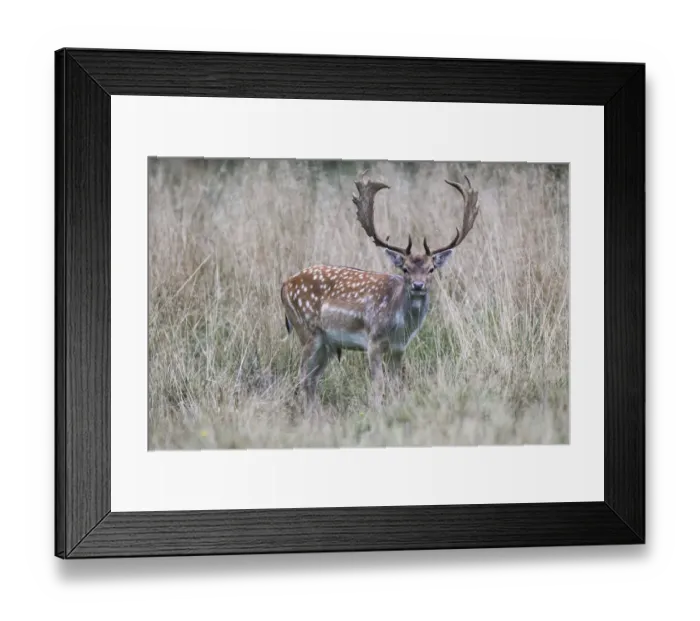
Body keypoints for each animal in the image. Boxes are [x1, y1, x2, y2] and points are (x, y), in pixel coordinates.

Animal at [280, 169, 480, 405]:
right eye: (405, 268)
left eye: (431, 269)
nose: (418, 285)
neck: (400, 326)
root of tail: (284, 284)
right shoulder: (373, 341)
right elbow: (378, 385)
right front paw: (376, 409)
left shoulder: (399, 348)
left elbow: (395, 385)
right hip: (307, 331)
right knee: (303, 376)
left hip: (326, 343)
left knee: (313, 379)